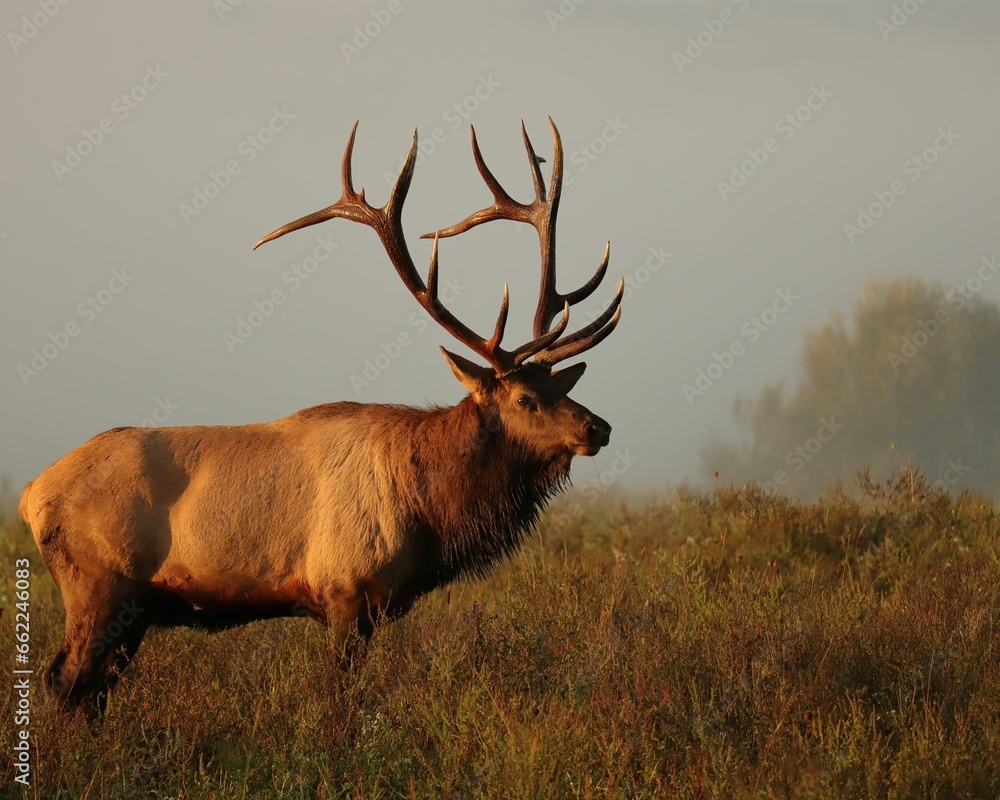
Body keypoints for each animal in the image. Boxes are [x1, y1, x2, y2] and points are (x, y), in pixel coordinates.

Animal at [19, 118, 622, 712]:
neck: (428, 506)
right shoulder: (345, 591)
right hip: (98, 586)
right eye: (524, 399)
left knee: (92, 692)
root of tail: (31, 495)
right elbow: (341, 700)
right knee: (62, 682)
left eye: (558, 385)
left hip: (134, 612)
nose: (599, 427)